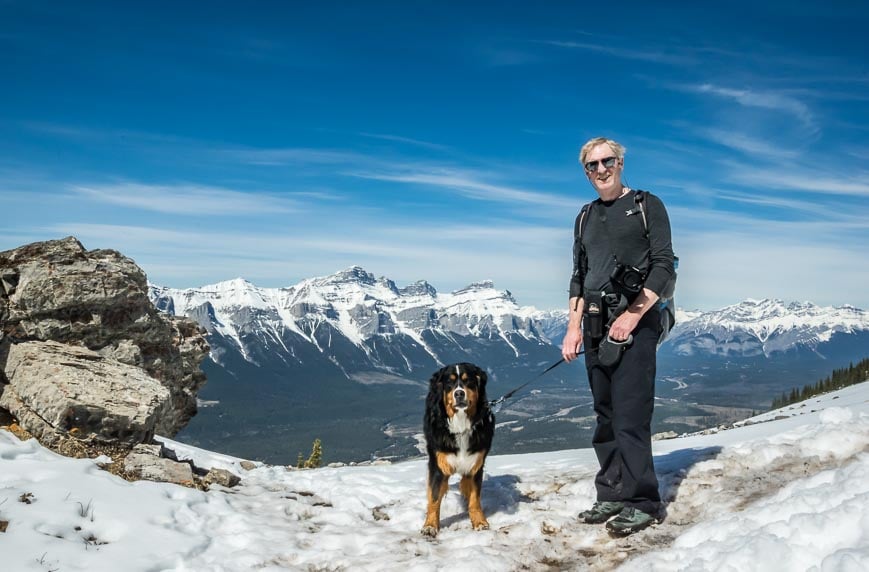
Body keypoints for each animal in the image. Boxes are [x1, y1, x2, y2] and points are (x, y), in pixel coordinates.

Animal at [420, 362, 496, 536]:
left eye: (468, 381)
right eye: (450, 382)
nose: (459, 393)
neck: (461, 425)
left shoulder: (475, 464)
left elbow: (475, 498)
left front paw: (479, 522)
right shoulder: (438, 465)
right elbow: (434, 497)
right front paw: (430, 525)